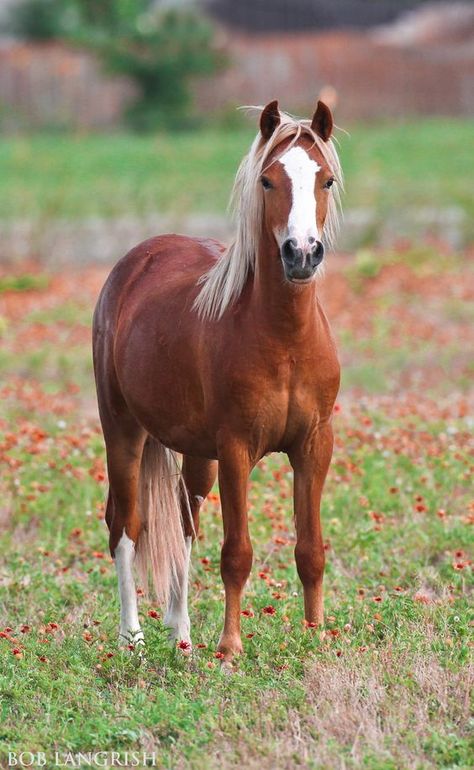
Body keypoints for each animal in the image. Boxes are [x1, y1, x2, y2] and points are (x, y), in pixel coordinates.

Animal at [92, 97, 342, 660]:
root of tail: (133, 264)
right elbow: (237, 553)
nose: (301, 253)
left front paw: (316, 638)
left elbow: (310, 550)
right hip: (123, 432)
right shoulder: (236, 450)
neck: (284, 337)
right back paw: (133, 638)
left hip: (194, 453)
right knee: (126, 526)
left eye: (327, 180)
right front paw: (230, 649)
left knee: (184, 528)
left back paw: (181, 637)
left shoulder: (314, 445)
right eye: (268, 181)